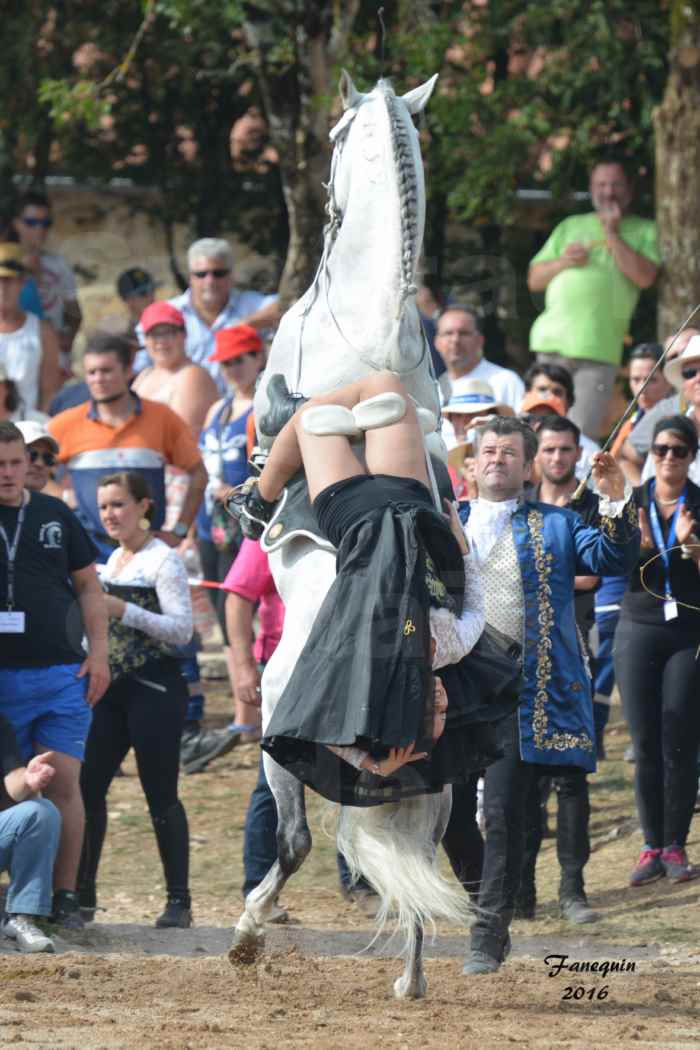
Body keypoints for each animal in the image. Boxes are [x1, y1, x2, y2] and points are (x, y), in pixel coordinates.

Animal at [229, 71, 470, 999]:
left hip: (276, 737)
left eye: (332, 140)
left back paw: (248, 932)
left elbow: (267, 450)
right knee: (422, 859)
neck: (371, 326)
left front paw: (247, 499)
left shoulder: (280, 417)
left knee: (294, 842)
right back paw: (411, 980)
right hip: (438, 789)